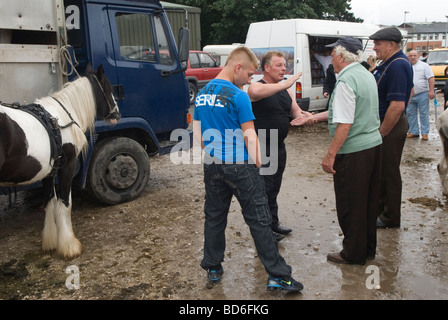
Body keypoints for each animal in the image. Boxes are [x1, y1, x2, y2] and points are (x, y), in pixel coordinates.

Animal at [0, 66, 120, 258]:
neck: (61, 117)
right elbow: (64, 203)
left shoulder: (49, 172)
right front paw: (69, 246)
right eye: (108, 89)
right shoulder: (67, 166)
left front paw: (50, 242)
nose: (117, 114)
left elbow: (49, 202)